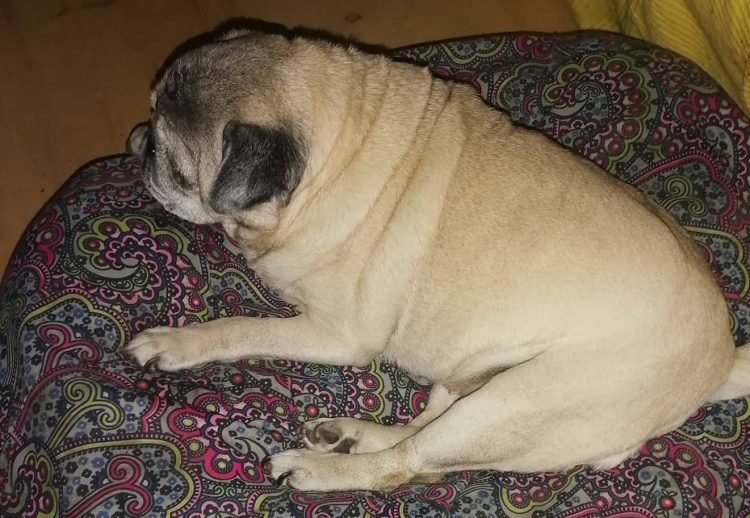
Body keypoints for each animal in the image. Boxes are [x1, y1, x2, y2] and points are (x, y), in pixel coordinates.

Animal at [124, 27, 750, 492]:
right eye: (148, 119)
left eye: (177, 168)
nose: (138, 143)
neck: (342, 144)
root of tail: (720, 361)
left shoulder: (338, 336)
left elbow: (240, 327)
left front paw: (176, 343)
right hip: (469, 382)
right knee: (418, 434)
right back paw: (348, 434)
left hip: (512, 403)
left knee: (407, 465)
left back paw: (318, 469)